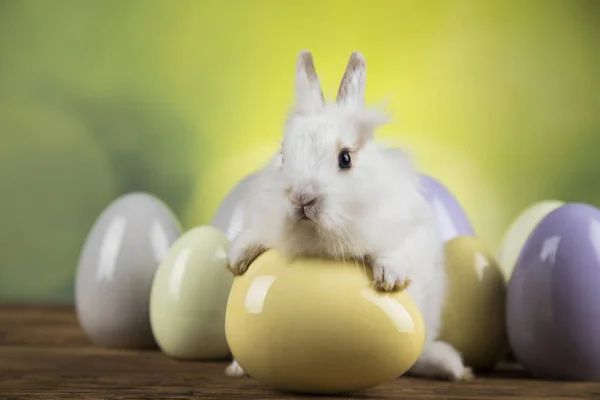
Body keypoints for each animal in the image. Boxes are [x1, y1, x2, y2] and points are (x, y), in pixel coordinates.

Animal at [225, 50, 474, 382]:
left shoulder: (409, 232)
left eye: (345, 159)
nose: (302, 197)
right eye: (283, 157)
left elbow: (394, 251)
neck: (318, 237)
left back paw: (450, 367)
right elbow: (253, 236)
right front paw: (236, 260)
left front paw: (390, 279)